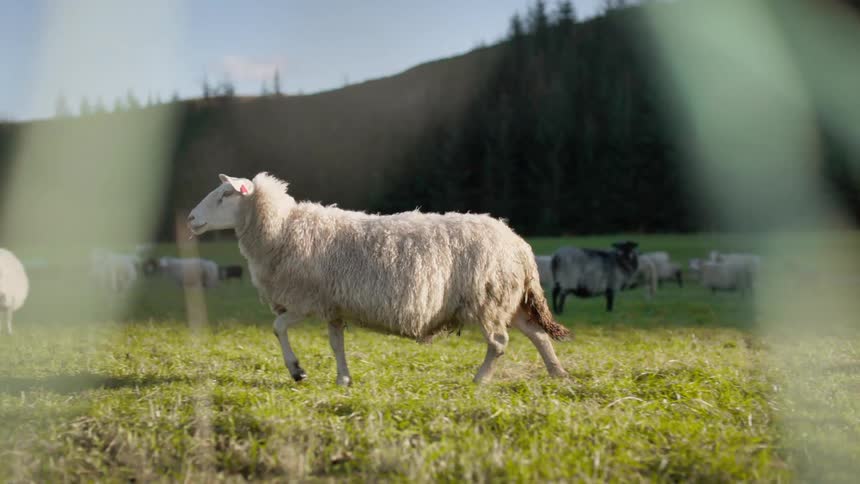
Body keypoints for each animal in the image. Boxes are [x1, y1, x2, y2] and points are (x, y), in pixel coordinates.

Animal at [187, 173, 570, 386]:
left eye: (225, 195)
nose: (191, 218)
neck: (281, 230)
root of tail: (519, 244)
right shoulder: (332, 305)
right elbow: (336, 344)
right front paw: (343, 379)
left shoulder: (305, 301)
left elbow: (277, 328)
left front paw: (297, 371)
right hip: (508, 300)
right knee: (537, 334)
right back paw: (558, 374)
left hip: (488, 299)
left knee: (500, 343)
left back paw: (480, 379)